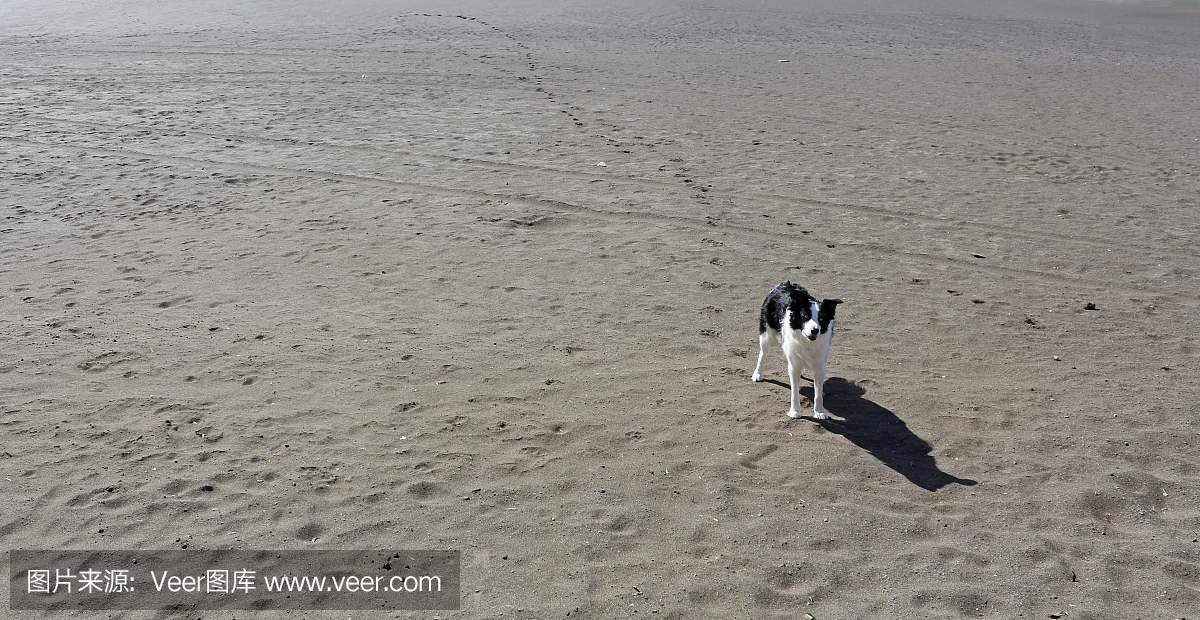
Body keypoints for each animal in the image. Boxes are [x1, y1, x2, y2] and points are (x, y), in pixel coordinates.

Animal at [748, 281, 844, 417]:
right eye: (805, 316)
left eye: (821, 318)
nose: (815, 330)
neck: (807, 342)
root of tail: (784, 284)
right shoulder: (794, 366)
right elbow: (795, 392)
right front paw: (794, 412)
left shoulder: (820, 366)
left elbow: (818, 393)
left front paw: (820, 412)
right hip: (767, 333)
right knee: (762, 354)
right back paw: (757, 374)